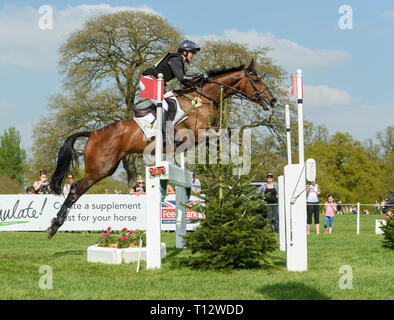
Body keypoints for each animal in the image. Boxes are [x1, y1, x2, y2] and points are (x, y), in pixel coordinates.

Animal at [47, 58, 278, 238]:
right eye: (256, 79)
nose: (273, 100)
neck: (203, 98)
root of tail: (93, 133)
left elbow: (225, 133)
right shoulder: (196, 133)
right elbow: (222, 134)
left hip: (107, 167)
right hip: (100, 169)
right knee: (74, 189)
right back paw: (54, 226)